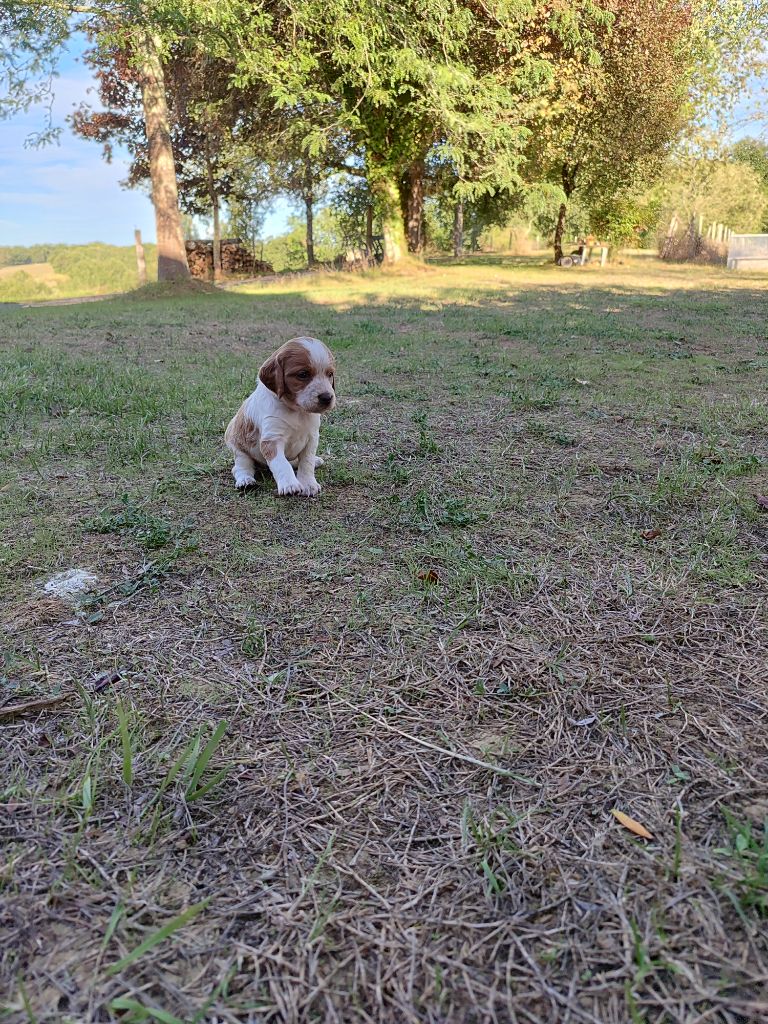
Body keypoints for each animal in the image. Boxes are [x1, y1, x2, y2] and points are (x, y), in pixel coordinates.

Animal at [225, 337, 336, 496]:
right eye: (303, 374)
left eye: (330, 374)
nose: (327, 397)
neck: (297, 411)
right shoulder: (272, 439)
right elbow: (281, 464)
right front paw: (290, 485)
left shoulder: (312, 437)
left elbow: (306, 462)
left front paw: (308, 484)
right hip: (239, 450)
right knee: (241, 467)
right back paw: (246, 481)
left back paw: (316, 461)